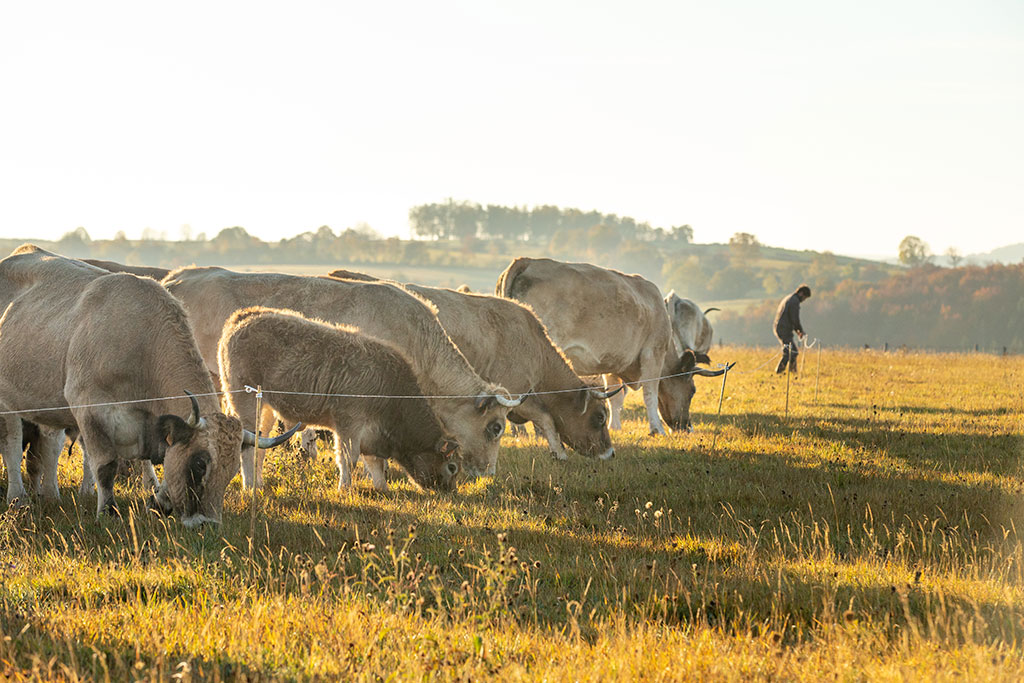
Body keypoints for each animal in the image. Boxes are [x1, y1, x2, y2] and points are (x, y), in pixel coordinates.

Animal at [0, 245, 294, 524]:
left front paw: (158, 500)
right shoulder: (90, 411)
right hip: (7, 405)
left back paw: (51, 495)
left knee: (48, 446)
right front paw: (107, 512)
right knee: (12, 447)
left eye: (231, 471)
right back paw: (18, 497)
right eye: (199, 465)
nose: (207, 524)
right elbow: (105, 466)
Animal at [219, 309, 460, 491]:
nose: (450, 490)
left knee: (260, 444)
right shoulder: (349, 422)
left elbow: (375, 463)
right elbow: (348, 458)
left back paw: (258, 484)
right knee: (247, 444)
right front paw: (345, 488)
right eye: (453, 467)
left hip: (266, 407)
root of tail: (245, 315)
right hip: (244, 400)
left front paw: (382, 487)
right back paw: (249, 485)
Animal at [495, 259, 729, 436]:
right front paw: (657, 429)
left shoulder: (612, 363)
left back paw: (519, 432)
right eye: (692, 391)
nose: (686, 427)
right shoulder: (653, 353)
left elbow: (614, 397)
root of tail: (526, 261)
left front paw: (614, 427)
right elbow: (650, 393)